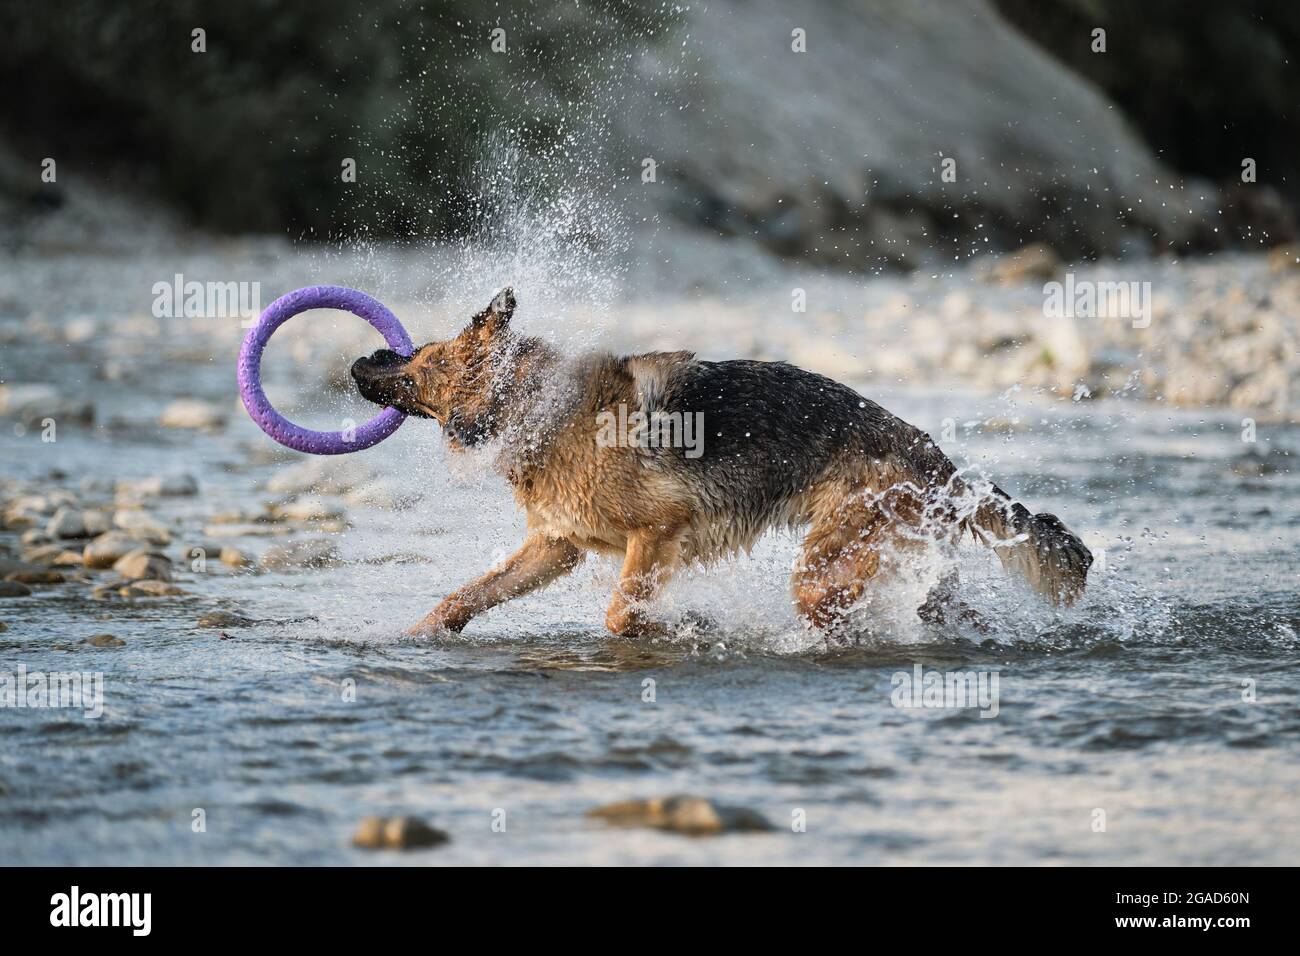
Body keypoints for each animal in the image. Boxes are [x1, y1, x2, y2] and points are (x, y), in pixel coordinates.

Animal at [351, 287, 1092, 639]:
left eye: (421, 361)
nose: (359, 362)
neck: (535, 406)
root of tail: (929, 451)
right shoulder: (555, 547)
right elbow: (463, 595)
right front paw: (416, 636)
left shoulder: (658, 533)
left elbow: (622, 614)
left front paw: (688, 627)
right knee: (945, 613)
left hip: (822, 569)